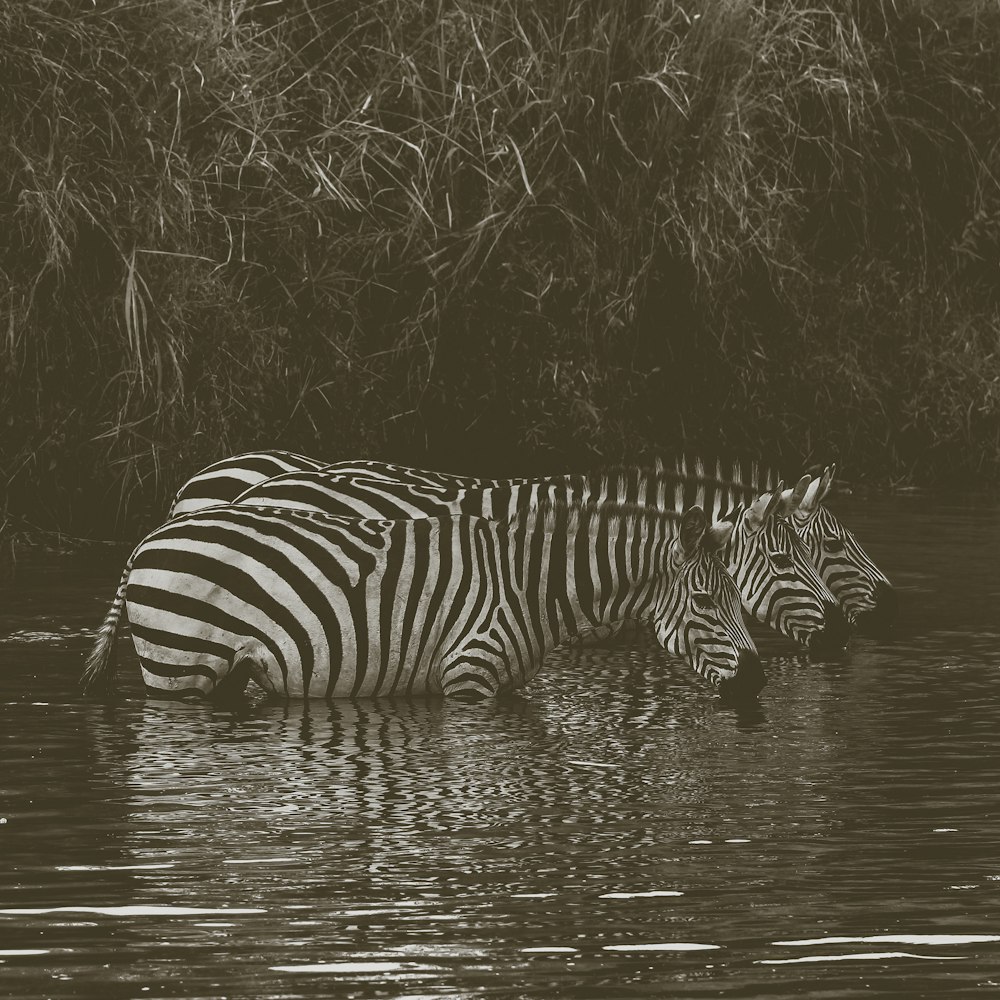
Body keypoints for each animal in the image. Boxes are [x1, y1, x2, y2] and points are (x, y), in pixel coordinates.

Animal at [82, 500, 760, 704]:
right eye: (705, 600)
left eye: (738, 596)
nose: (757, 677)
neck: (531, 587)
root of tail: (149, 537)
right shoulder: (469, 678)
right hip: (179, 669)